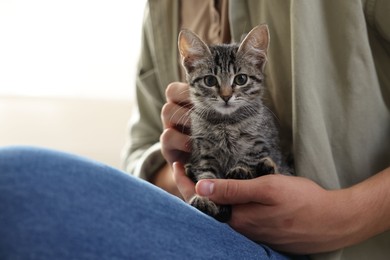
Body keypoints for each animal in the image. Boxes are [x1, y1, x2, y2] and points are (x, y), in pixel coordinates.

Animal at [178, 25, 290, 222]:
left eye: (241, 79)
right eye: (209, 80)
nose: (225, 96)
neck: (227, 123)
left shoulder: (260, 140)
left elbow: (251, 156)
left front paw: (241, 170)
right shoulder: (204, 152)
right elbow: (206, 175)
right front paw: (204, 198)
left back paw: (266, 167)